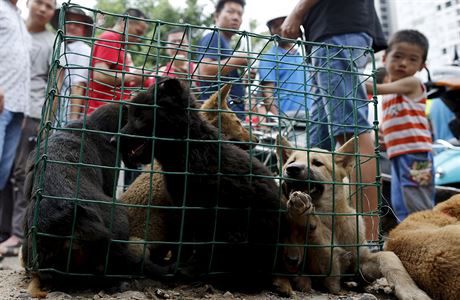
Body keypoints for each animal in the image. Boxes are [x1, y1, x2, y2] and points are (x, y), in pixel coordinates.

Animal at [276, 138, 432, 300]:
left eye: (317, 163)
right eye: (291, 161)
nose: (291, 169)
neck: (330, 219)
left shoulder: (360, 263)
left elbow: (389, 257)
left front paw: (410, 290)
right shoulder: (328, 272)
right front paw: (303, 215)